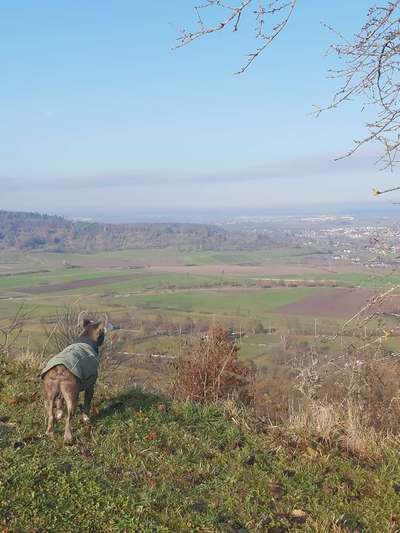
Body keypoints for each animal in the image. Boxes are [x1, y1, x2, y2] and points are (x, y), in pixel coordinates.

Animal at [40, 310, 108, 442]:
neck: (86, 338)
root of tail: (59, 369)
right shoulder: (90, 386)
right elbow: (87, 403)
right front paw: (86, 418)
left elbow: (59, 404)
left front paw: (59, 414)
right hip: (72, 394)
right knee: (68, 418)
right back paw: (68, 437)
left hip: (50, 391)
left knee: (50, 413)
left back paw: (50, 431)